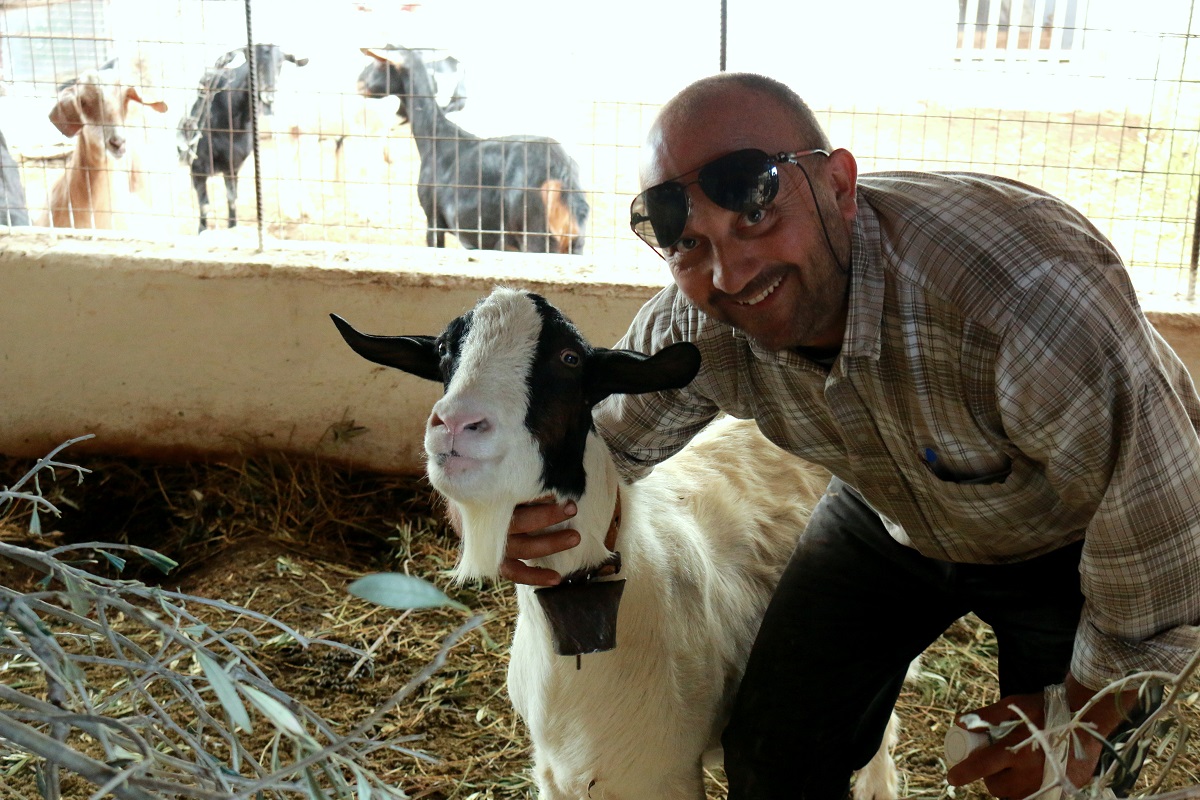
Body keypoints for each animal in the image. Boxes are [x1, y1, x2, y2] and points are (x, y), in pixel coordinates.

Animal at [179, 44, 308, 233]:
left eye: (281, 62)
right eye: (250, 59)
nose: (268, 95)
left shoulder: (233, 166)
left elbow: (232, 200)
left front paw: (232, 227)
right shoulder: (197, 167)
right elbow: (205, 205)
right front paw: (202, 230)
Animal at [361, 48, 588, 255]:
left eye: (379, 63)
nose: (359, 84)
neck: (438, 141)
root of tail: (561, 175)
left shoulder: (433, 219)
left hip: (537, 239)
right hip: (574, 244)